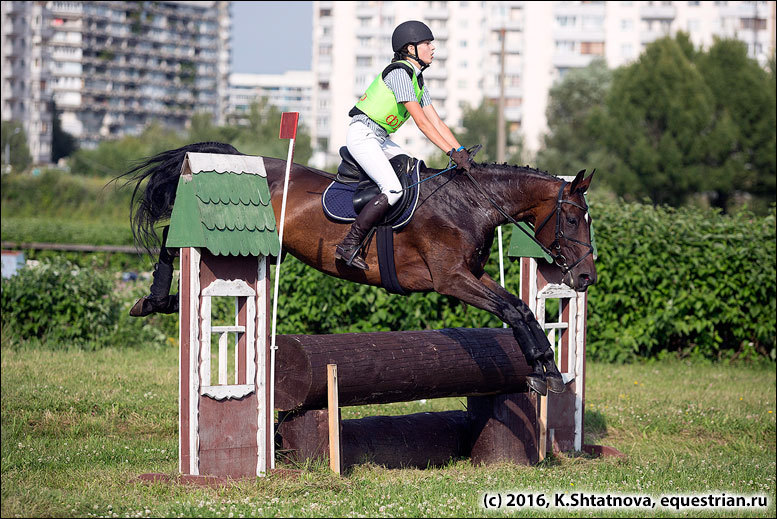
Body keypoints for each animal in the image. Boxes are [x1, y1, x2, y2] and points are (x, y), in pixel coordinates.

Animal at [118, 140, 596, 396]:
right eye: (573, 219)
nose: (586, 277)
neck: (468, 204)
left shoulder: (472, 275)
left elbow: (523, 309)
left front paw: (550, 371)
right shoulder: (451, 280)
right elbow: (513, 310)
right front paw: (546, 370)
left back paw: (165, 301)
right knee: (170, 237)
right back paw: (152, 300)